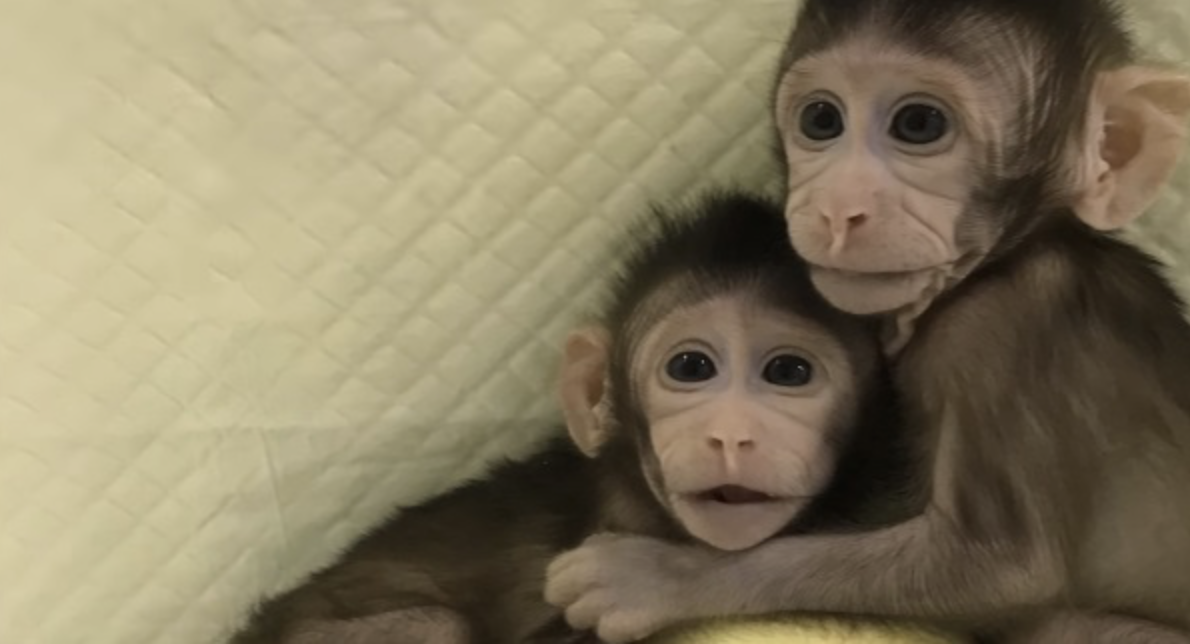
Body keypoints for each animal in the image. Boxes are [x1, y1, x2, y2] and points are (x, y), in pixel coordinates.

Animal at [542, 1, 1190, 643]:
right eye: (821, 119)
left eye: (920, 125)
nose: (837, 208)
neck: (1006, 257)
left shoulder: (1004, 329)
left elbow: (1002, 566)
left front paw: (657, 578)